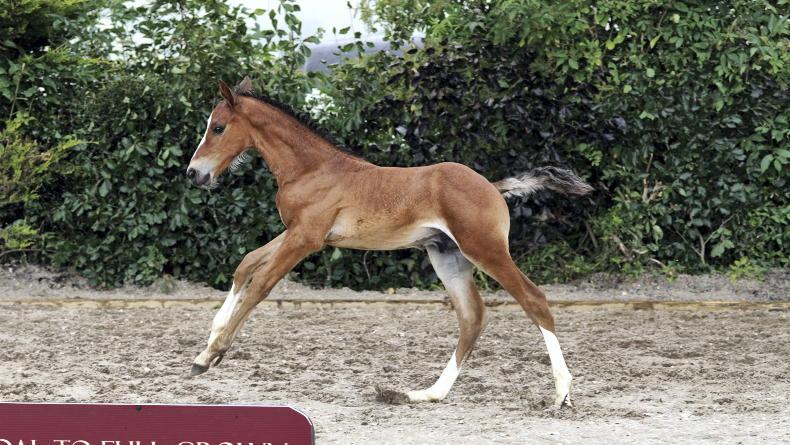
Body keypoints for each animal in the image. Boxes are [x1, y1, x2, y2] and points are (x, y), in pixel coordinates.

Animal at [186, 77, 592, 407]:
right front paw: (210, 340)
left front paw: (210, 356)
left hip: (485, 249)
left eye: (218, 127)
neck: (312, 169)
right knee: (472, 317)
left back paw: (562, 393)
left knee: (533, 300)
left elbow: (260, 285)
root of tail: (492, 187)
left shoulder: (306, 239)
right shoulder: (297, 231)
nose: (193, 173)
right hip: (448, 257)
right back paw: (427, 393)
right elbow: (247, 264)